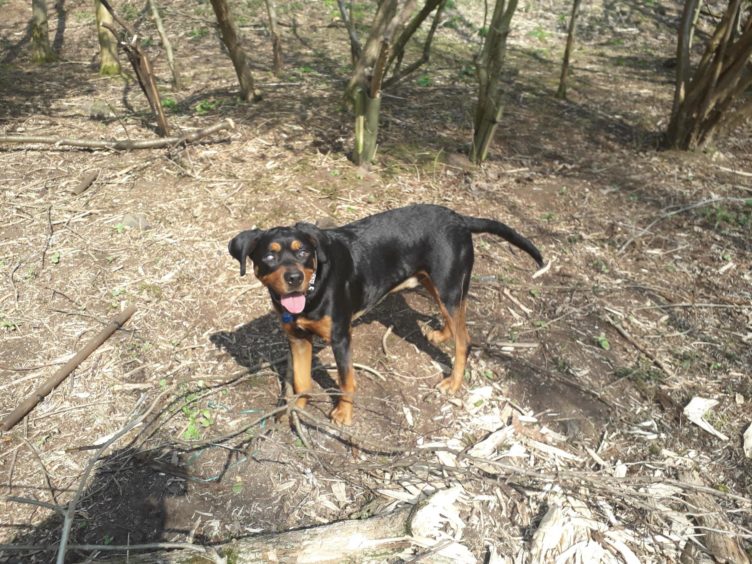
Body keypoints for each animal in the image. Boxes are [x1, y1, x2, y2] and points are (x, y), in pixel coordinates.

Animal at [226, 203, 544, 424]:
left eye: (303, 251)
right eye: (269, 256)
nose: (294, 278)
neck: (314, 288)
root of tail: (459, 218)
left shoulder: (341, 338)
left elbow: (346, 382)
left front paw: (343, 415)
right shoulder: (297, 339)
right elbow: (302, 382)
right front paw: (296, 410)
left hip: (448, 286)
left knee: (464, 340)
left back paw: (453, 383)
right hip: (433, 283)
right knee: (455, 325)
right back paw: (441, 334)